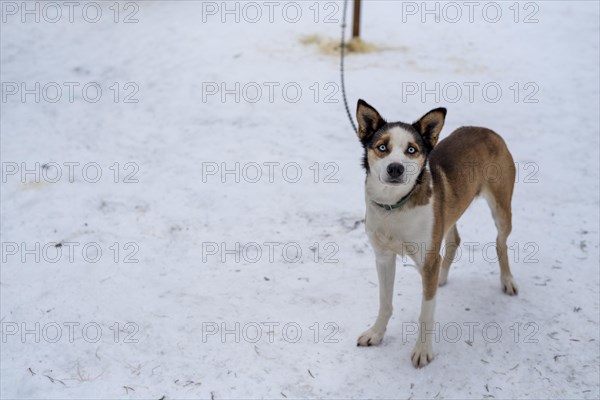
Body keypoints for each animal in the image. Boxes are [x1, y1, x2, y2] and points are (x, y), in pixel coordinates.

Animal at [354, 98, 516, 368]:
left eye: (411, 150)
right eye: (382, 147)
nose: (395, 169)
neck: (395, 207)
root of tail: (485, 130)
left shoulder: (428, 260)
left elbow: (425, 314)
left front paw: (422, 351)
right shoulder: (384, 257)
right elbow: (385, 303)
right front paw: (376, 334)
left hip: (502, 210)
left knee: (500, 242)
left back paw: (507, 281)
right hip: (447, 215)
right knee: (454, 240)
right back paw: (442, 277)